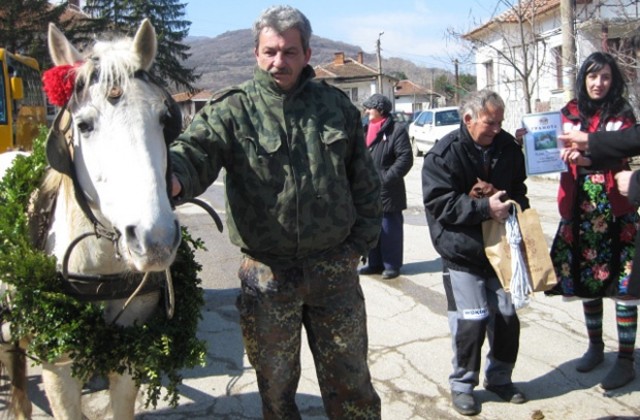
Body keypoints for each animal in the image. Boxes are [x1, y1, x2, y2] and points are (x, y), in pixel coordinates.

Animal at [0, 18, 182, 416]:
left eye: (163, 118)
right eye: (84, 125)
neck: (100, 270)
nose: (155, 241)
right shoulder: (59, 368)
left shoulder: (128, 351)